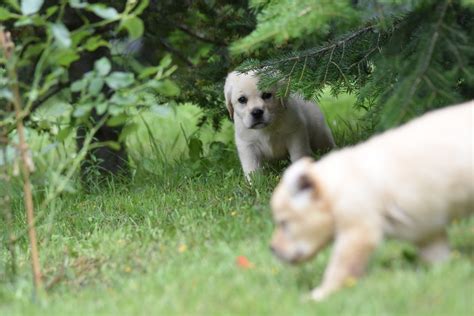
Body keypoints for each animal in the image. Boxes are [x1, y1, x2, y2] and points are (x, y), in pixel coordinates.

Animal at [270, 101, 474, 302]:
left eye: (284, 223)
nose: (272, 249)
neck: (335, 186)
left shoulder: (359, 228)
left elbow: (343, 264)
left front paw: (320, 294)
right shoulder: (425, 226)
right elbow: (437, 254)